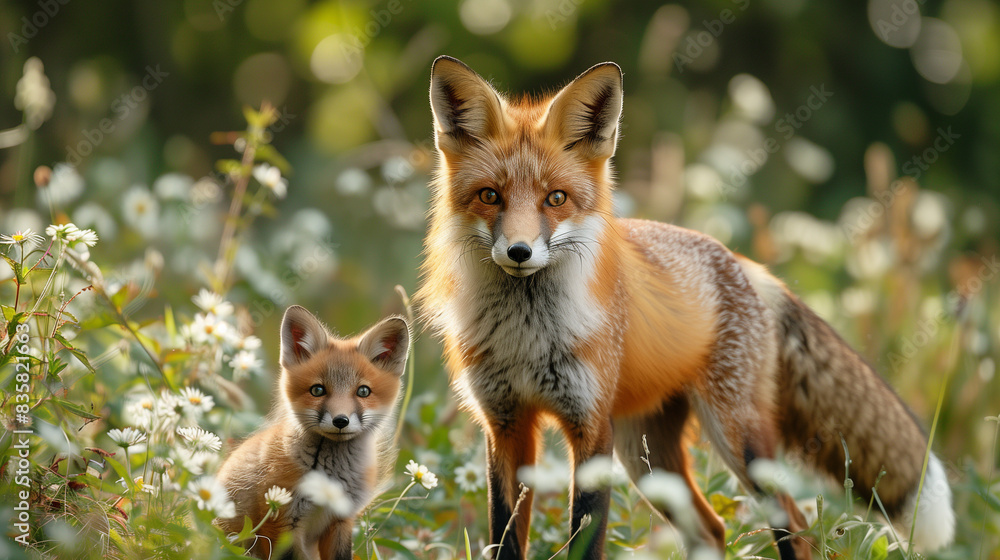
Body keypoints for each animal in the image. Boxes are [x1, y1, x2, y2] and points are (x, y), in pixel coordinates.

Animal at [216, 305, 410, 560]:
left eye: (363, 391)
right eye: (317, 390)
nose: (340, 421)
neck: (330, 481)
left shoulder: (341, 521)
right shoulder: (280, 521)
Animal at [417, 56, 955, 560]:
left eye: (556, 198)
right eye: (490, 196)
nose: (519, 251)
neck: (525, 339)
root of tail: (742, 263)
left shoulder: (590, 427)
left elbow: (585, 542)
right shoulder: (505, 427)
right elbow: (503, 541)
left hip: (737, 440)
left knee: (797, 526)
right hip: (647, 459)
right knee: (713, 530)